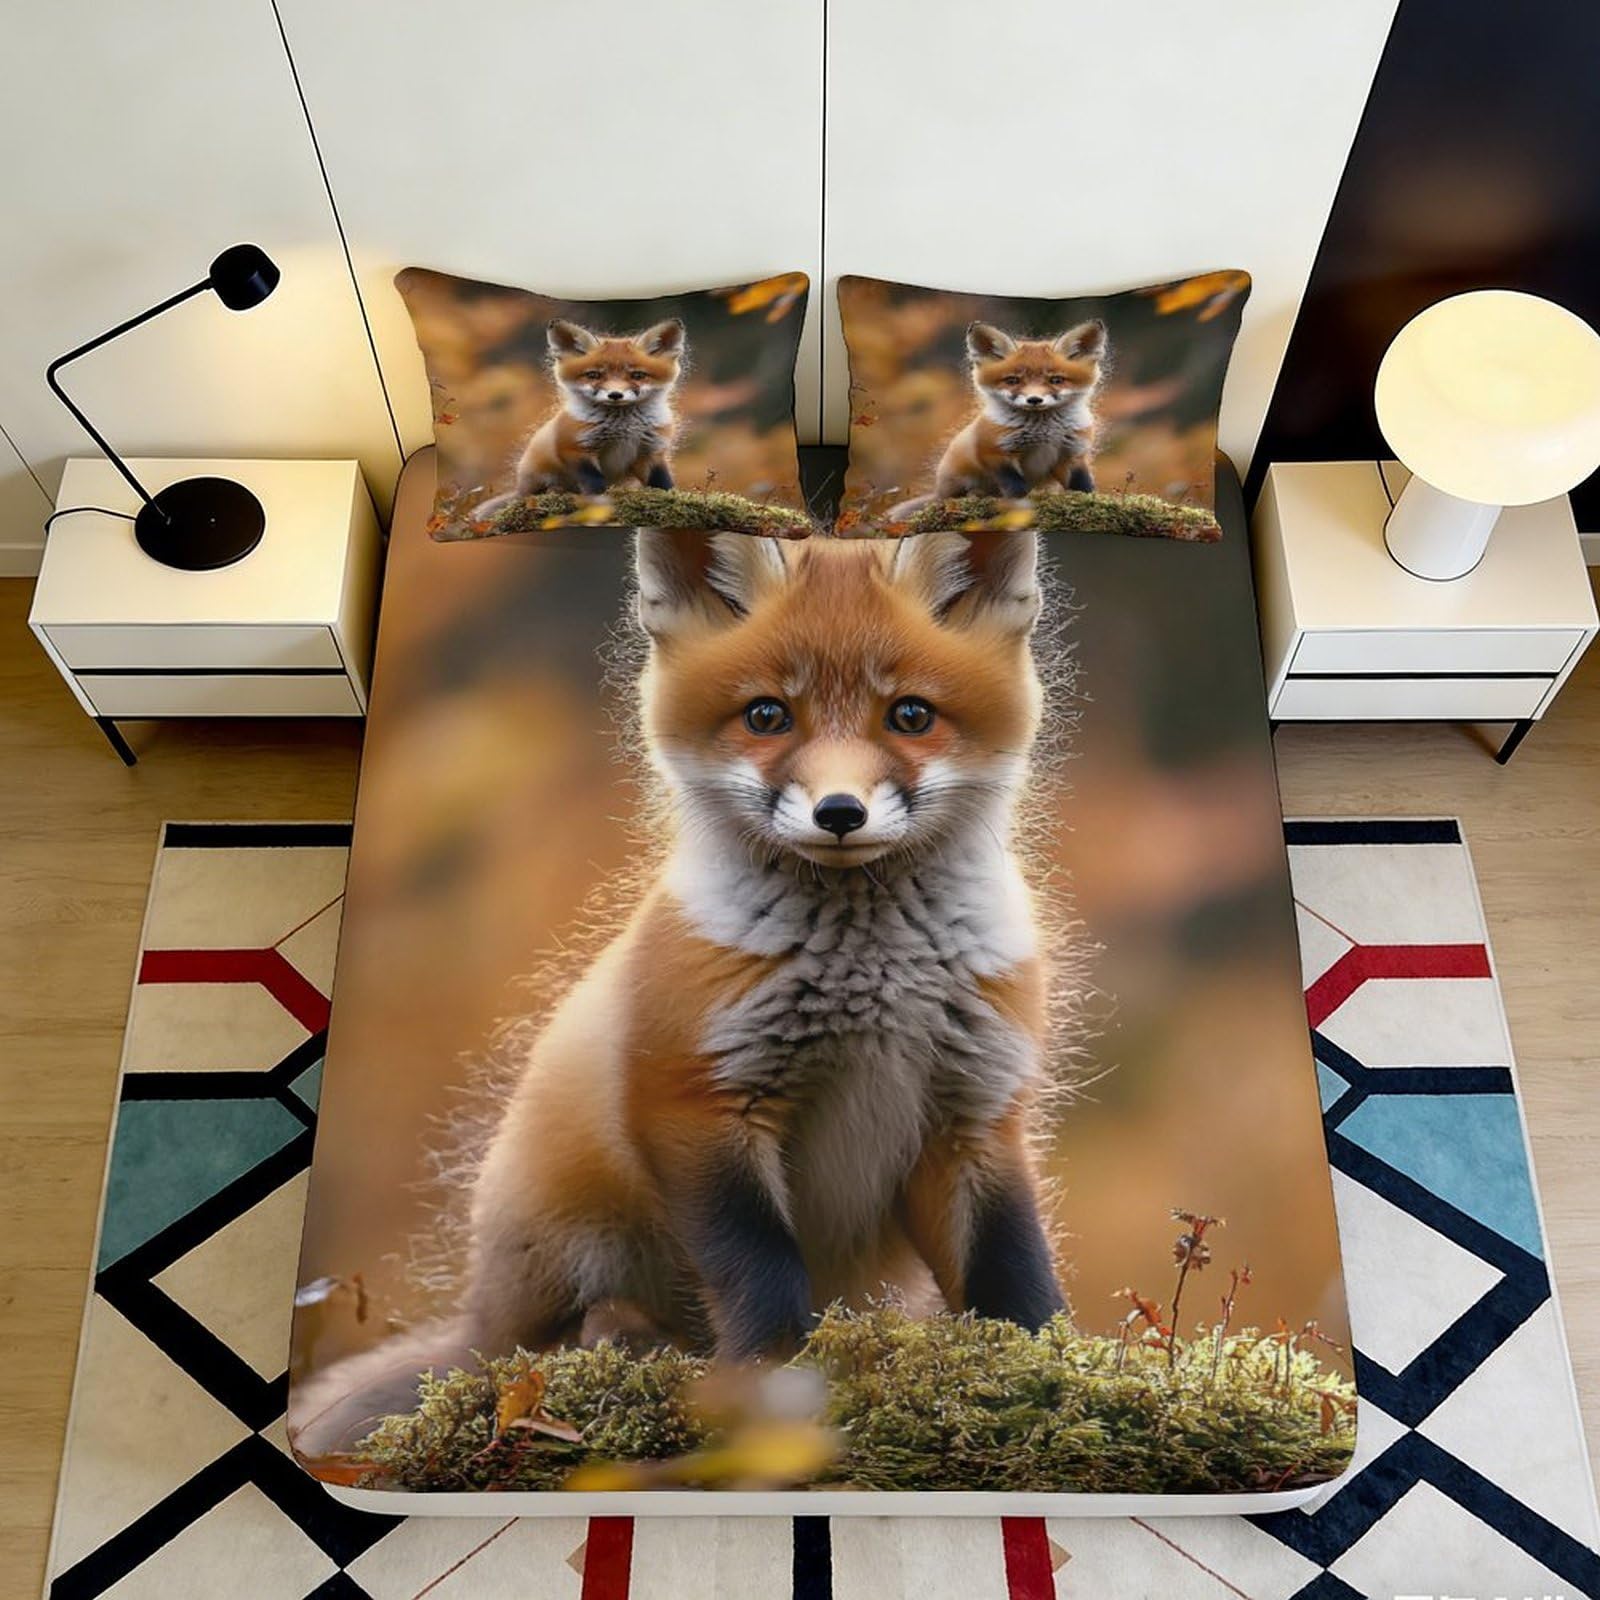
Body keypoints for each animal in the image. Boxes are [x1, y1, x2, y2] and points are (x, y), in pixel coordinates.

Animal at [291, 525, 1065, 1456]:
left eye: (911, 715)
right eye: (767, 715)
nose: (840, 812)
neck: (870, 979)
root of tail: (479, 1319)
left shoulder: (976, 1112)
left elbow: (1016, 1272)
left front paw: (1047, 1372)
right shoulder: (696, 1102)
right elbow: (759, 1267)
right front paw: (774, 1383)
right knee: (548, 1347)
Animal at [474, 318, 685, 519]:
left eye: (638, 375)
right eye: (593, 375)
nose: (615, 395)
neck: (622, 427)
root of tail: (520, 488)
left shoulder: (651, 451)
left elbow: (663, 482)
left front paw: (673, 499)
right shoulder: (575, 448)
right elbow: (595, 481)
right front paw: (601, 502)